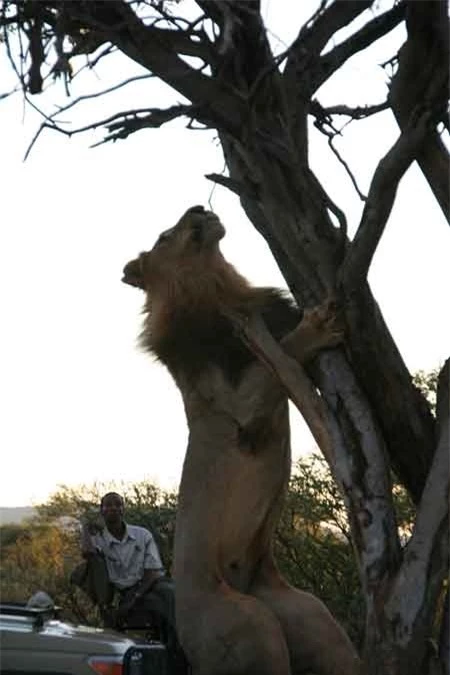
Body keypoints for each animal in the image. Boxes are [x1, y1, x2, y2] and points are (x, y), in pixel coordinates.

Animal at [121, 206, 360, 675]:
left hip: (307, 615)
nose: (198, 208)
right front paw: (318, 326)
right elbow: (282, 354)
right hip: (246, 623)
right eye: (165, 236)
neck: (218, 288)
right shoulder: (238, 408)